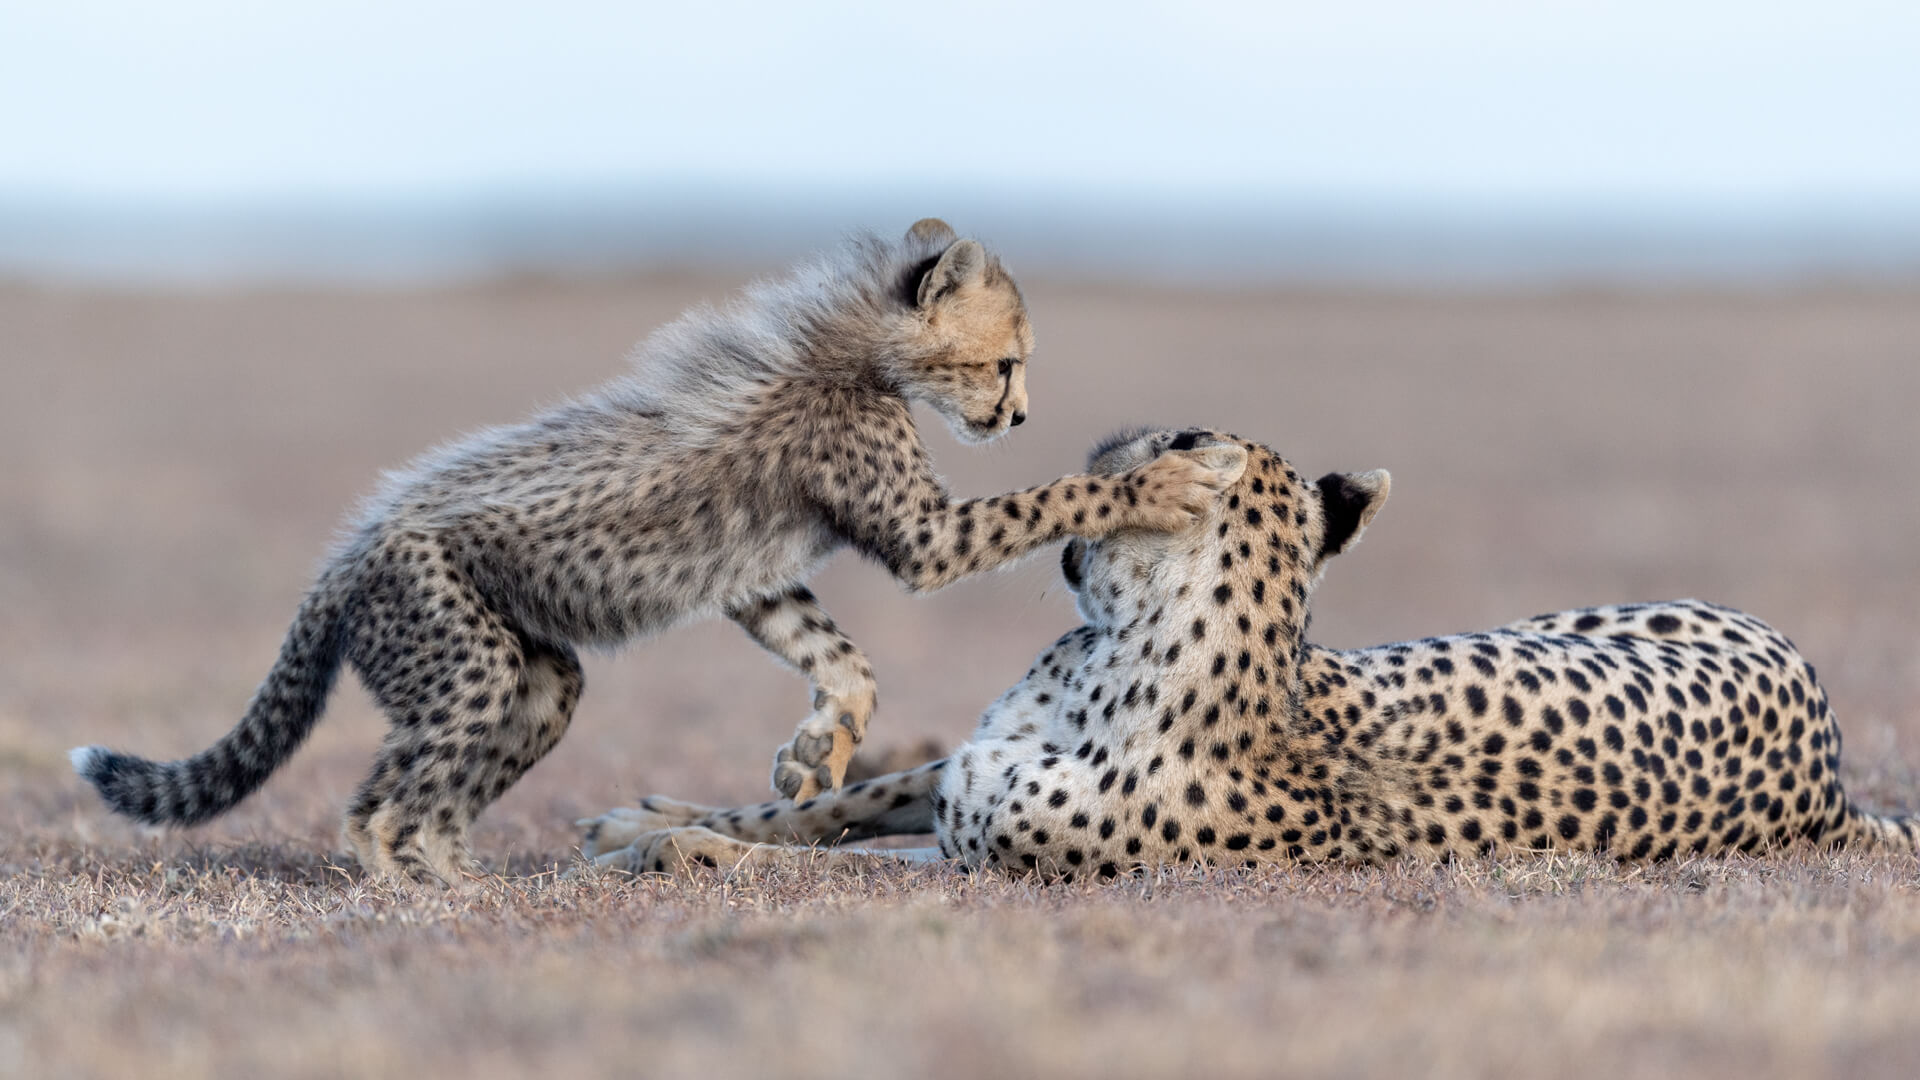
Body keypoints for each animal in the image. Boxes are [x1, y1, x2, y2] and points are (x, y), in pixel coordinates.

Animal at [67, 225, 1245, 884]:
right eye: (1006, 362)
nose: (1019, 413)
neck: (860, 353)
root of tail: (347, 553)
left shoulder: (757, 575)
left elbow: (837, 655)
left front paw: (818, 746)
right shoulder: (922, 533)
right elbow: (1044, 501)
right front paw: (1161, 485)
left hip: (533, 680)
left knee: (458, 776)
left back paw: (469, 876)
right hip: (462, 656)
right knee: (379, 801)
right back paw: (412, 891)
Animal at [577, 426, 1919, 879]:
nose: (1095, 471)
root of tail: (1832, 781)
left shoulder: (988, 858)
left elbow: (840, 857)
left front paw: (678, 849)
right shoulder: (957, 772)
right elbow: (825, 809)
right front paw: (651, 818)